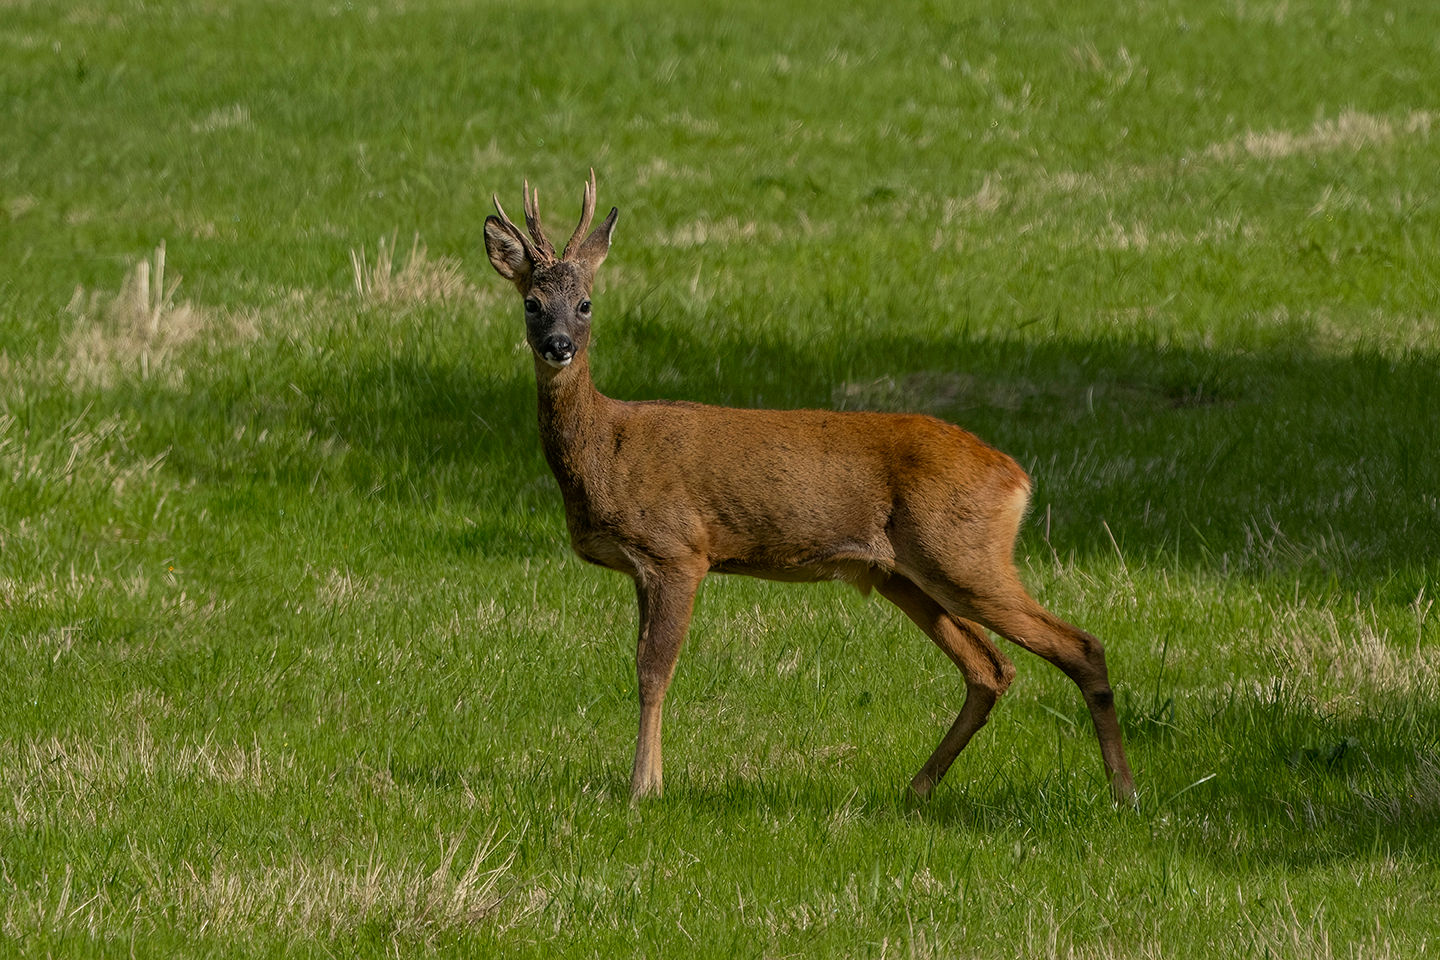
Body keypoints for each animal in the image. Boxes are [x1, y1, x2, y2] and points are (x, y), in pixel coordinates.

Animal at [482, 171, 1136, 805]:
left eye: (586, 303)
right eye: (532, 303)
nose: (559, 346)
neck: (606, 448)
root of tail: (1016, 475)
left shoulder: (679, 550)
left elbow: (653, 670)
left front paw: (643, 788)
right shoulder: (647, 565)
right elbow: (643, 666)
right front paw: (649, 781)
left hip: (964, 554)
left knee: (1079, 646)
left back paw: (1123, 792)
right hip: (901, 573)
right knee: (990, 668)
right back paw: (917, 788)